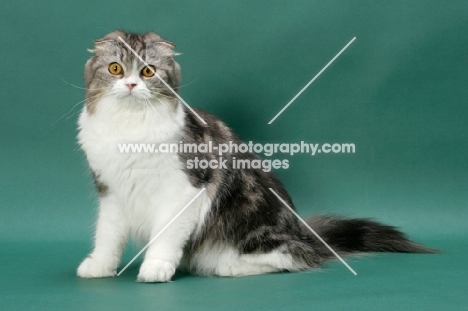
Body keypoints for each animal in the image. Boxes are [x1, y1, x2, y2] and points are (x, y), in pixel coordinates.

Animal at [76, 31, 436, 282]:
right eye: (115, 68)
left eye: (148, 71)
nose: (132, 85)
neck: (128, 128)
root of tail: (303, 232)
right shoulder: (112, 191)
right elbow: (107, 235)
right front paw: (100, 266)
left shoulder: (183, 189)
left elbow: (165, 236)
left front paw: (156, 268)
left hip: (252, 225)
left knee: (292, 259)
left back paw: (225, 266)